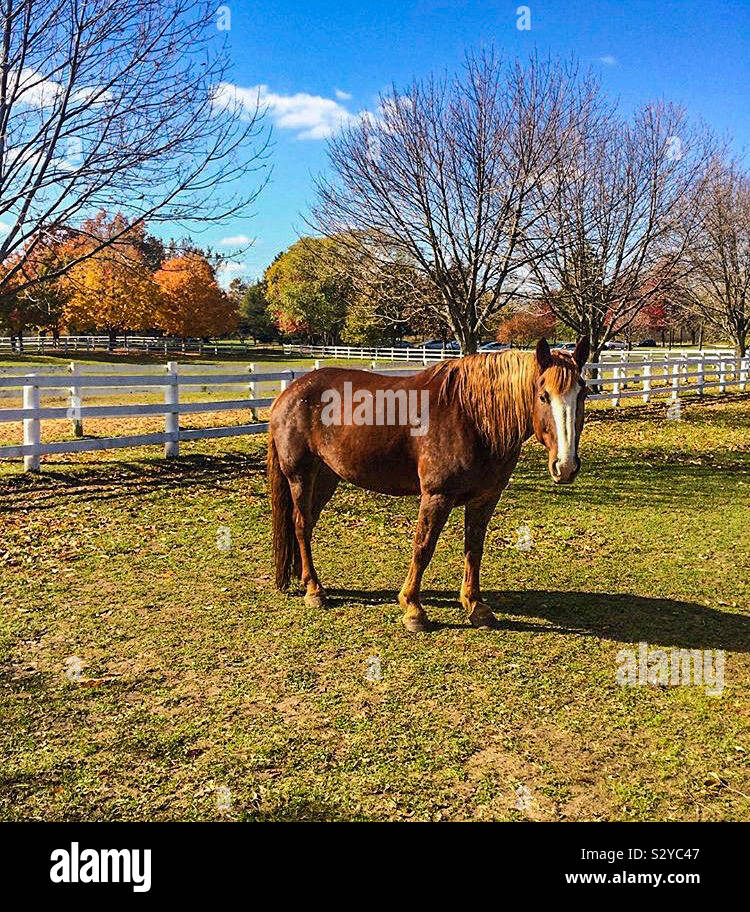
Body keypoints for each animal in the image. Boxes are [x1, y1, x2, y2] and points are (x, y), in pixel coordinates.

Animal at [268, 338, 592, 632]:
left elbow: (474, 548)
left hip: (326, 477)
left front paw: (476, 606)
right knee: (300, 524)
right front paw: (413, 609)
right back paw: (314, 590)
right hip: (300, 475)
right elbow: (423, 547)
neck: (473, 417)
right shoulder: (437, 496)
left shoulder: (485, 498)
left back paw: (304, 578)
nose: (565, 466)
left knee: (307, 524)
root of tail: (289, 394)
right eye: (543, 396)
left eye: (583, 393)